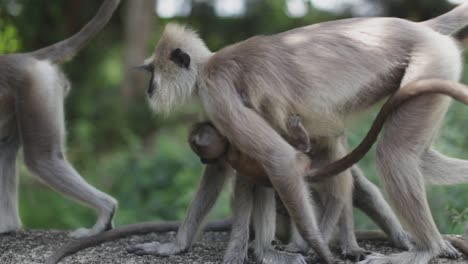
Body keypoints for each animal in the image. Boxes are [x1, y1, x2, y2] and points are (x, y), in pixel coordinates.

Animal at [0, 0, 121, 238]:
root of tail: (25, 57)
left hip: (36, 86)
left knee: (42, 159)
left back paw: (105, 212)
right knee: (6, 150)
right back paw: (7, 226)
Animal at [122, 2, 468, 264]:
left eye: (152, 73)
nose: (149, 88)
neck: (209, 65)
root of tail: (418, 28)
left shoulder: (214, 90)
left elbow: (278, 157)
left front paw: (320, 251)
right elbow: (222, 168)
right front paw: (175, 246)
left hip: (430, 62)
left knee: (393, 154)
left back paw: (426, 249)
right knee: (419, 158)